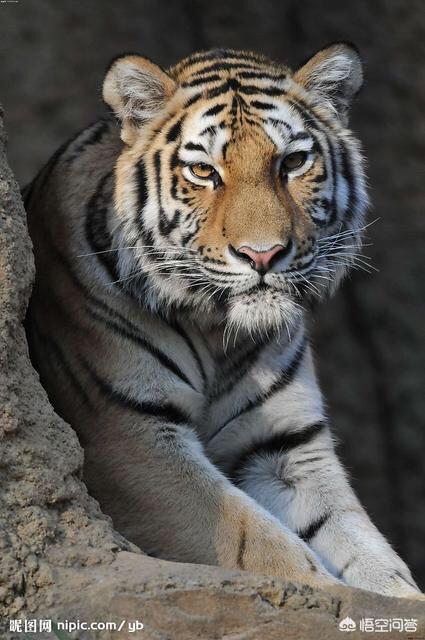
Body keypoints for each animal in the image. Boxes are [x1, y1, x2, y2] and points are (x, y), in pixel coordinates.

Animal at [23, 46, 420, 600]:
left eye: (292, 162)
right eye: (203, 171)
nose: (263, 254)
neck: (217, 333)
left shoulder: (284, 449)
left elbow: (364, 547)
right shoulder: (126, 431)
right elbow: (252, 539)